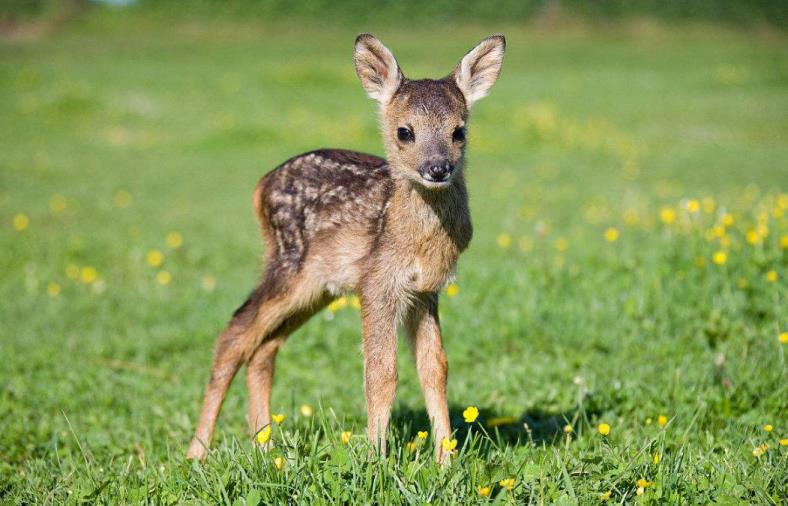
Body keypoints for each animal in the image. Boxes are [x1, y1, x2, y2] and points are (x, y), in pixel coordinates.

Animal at [186, 32, 504, 462]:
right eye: (405, 131)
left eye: (459, 131)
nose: (438, 168)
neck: (416, 238)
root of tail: (260, 186)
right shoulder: (377, 282)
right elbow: (381, 372)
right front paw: (375, 458)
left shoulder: (425, 291)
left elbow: (435, 369)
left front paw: (445, 461)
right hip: (290, 264)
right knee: (234, 336)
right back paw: (197, 452)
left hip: (318, 288)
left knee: (264, 346)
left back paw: (265, 446)